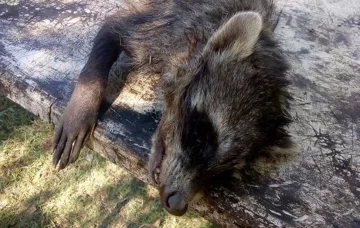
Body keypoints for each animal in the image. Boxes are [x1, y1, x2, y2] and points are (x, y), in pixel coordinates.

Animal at [52, 0, 292, 216]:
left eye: (224, 171)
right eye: (202, 135)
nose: (177, 206)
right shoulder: (163, 22)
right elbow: (111, 28)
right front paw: (84, 101)